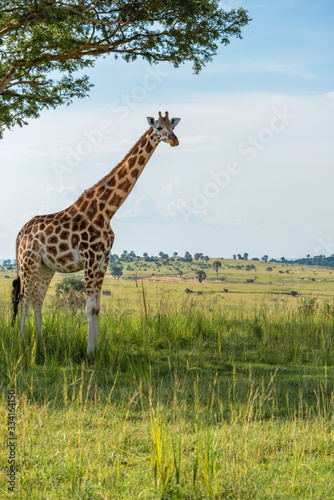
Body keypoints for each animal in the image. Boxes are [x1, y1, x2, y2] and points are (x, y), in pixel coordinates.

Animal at [11, 112, 180, 356]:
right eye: (158, 127)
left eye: (173, 126)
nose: (174, 140)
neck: (107, 210)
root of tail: (19, 232)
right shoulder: (90, 259)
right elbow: (89, 306)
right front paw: (90, 352)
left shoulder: (103, 260)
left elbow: (97, 307)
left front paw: (97, 349)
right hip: (28, 262)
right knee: (24, 298)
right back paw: (24, 341)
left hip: (46, 267)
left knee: (37, 299)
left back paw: (39, 341)